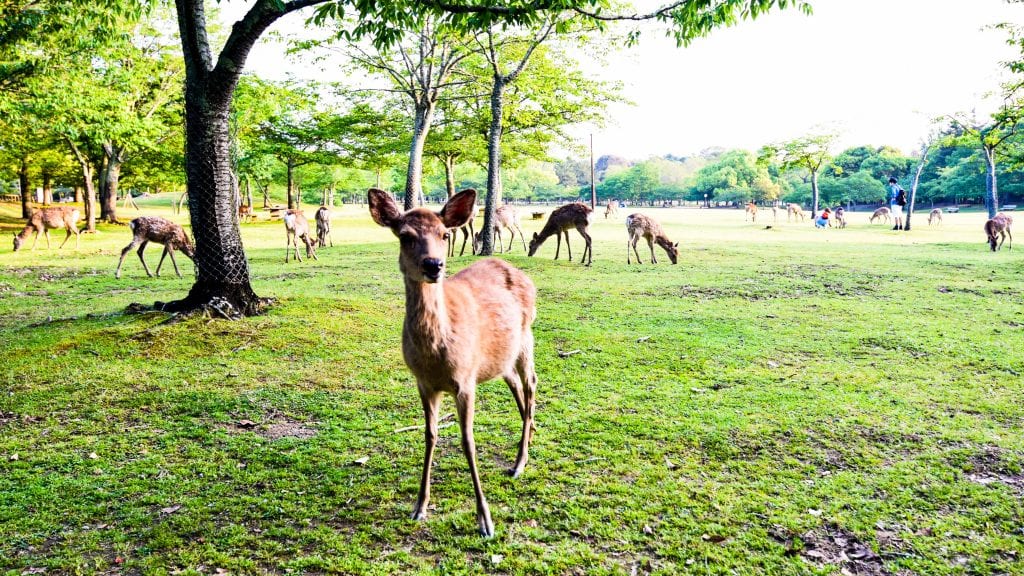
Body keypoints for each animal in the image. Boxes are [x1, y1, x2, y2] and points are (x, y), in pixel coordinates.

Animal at [366, 186, 536, 537]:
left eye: (445, 234)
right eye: (405, 236)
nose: (434, 264)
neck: (436, 355)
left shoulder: (466, 380)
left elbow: (467, 440)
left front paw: (486, 520)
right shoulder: (423, 383)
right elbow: (430, 435)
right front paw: (419, 506)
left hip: (526, 338)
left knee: (531, 386)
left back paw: (519, 462)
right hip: (500, 357)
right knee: (515, 384)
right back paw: (528, 439)